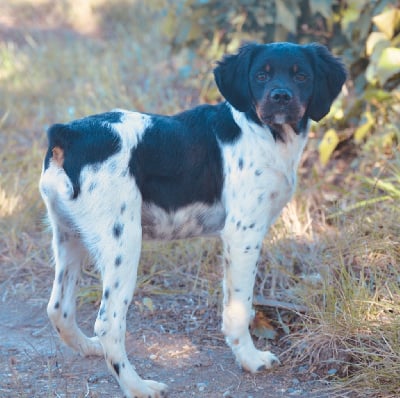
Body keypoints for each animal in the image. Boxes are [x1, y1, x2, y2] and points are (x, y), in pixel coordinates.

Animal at [39, 42, 346, 396]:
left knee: (58, 308)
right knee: (108, 323)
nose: (280, 96)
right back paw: (138, 386)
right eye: (261, 75)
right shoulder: (243, 233)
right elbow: (241, 307)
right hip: (122, 244)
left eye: (301, 76)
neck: (263, 133)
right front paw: (250, 359)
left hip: (69, 236)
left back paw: (89, 347)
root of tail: (68, 134)